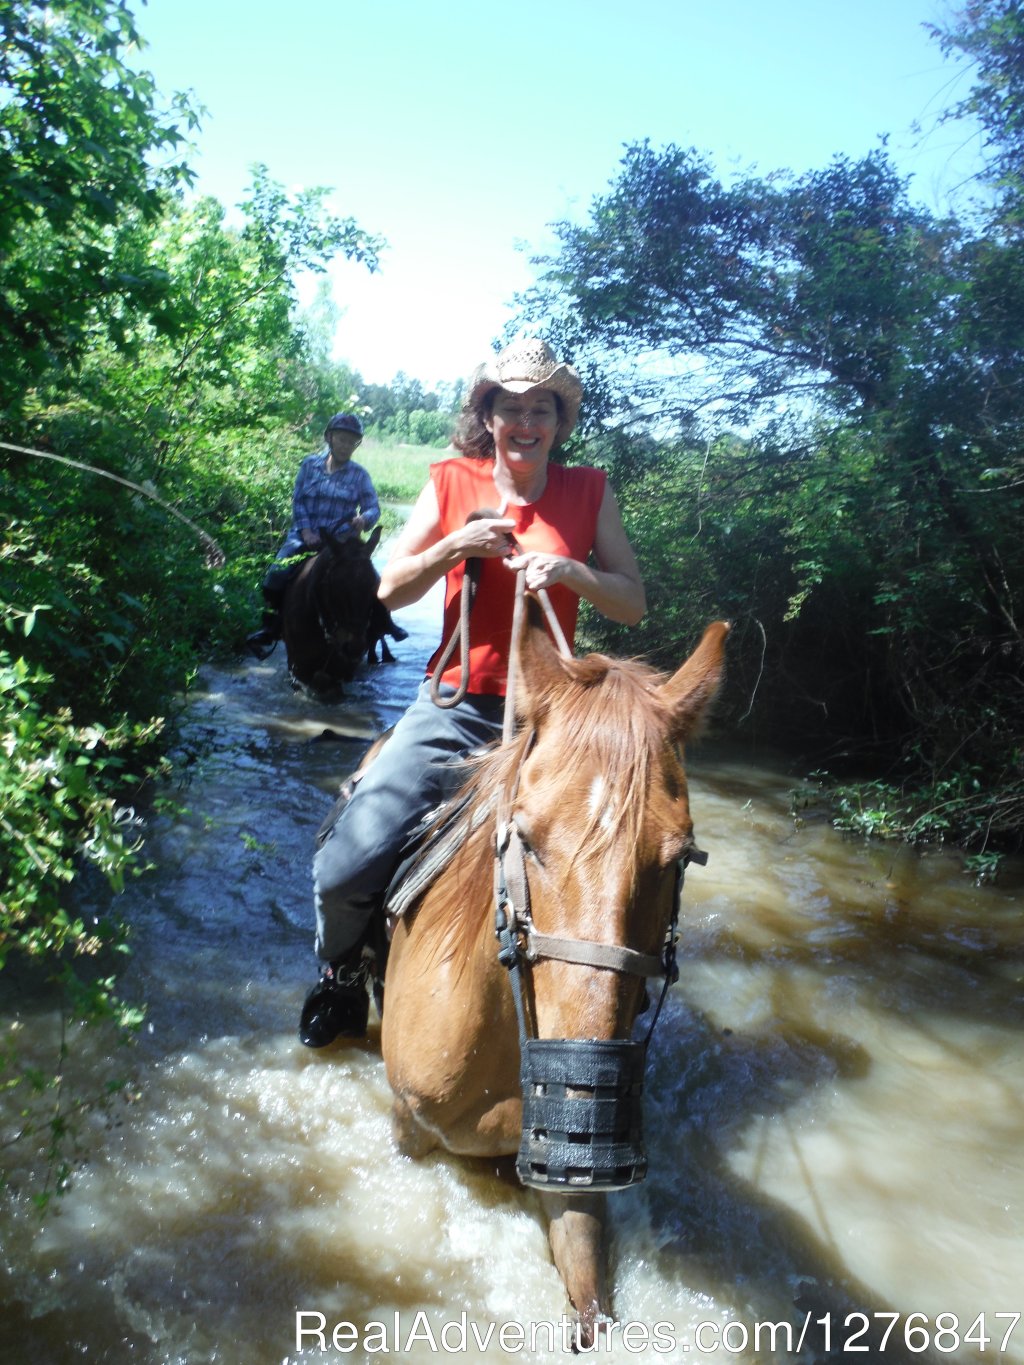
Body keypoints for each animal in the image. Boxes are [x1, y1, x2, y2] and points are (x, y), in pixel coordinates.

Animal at [382, 606, 731, 1343]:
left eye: (677, 857)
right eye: (525, 837)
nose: (583, 1086)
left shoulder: (567, 1180)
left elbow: (591, 1294)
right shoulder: (406, 1127)